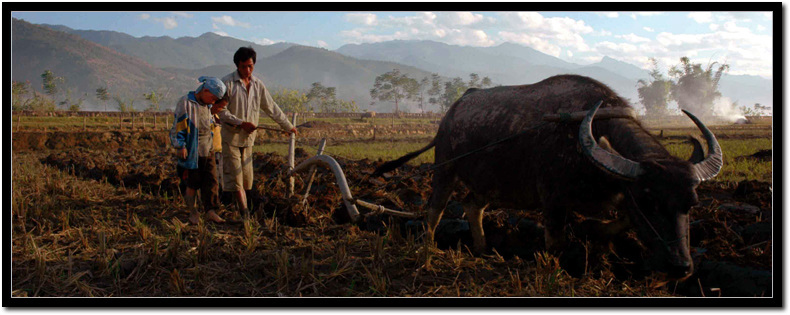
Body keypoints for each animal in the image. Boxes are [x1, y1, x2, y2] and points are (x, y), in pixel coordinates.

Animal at [376, 75, 724, 280]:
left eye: (692, 204)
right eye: (649, 202)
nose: (681, 267)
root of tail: (452, 111)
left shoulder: (619, 196)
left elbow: (618, 222)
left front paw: (597, 235)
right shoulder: (553, 203)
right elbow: (556, 245)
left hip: (490, 182)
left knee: (473, 206)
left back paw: (483, 248)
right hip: (445, 168)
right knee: (434, 211)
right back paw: (427, 254)